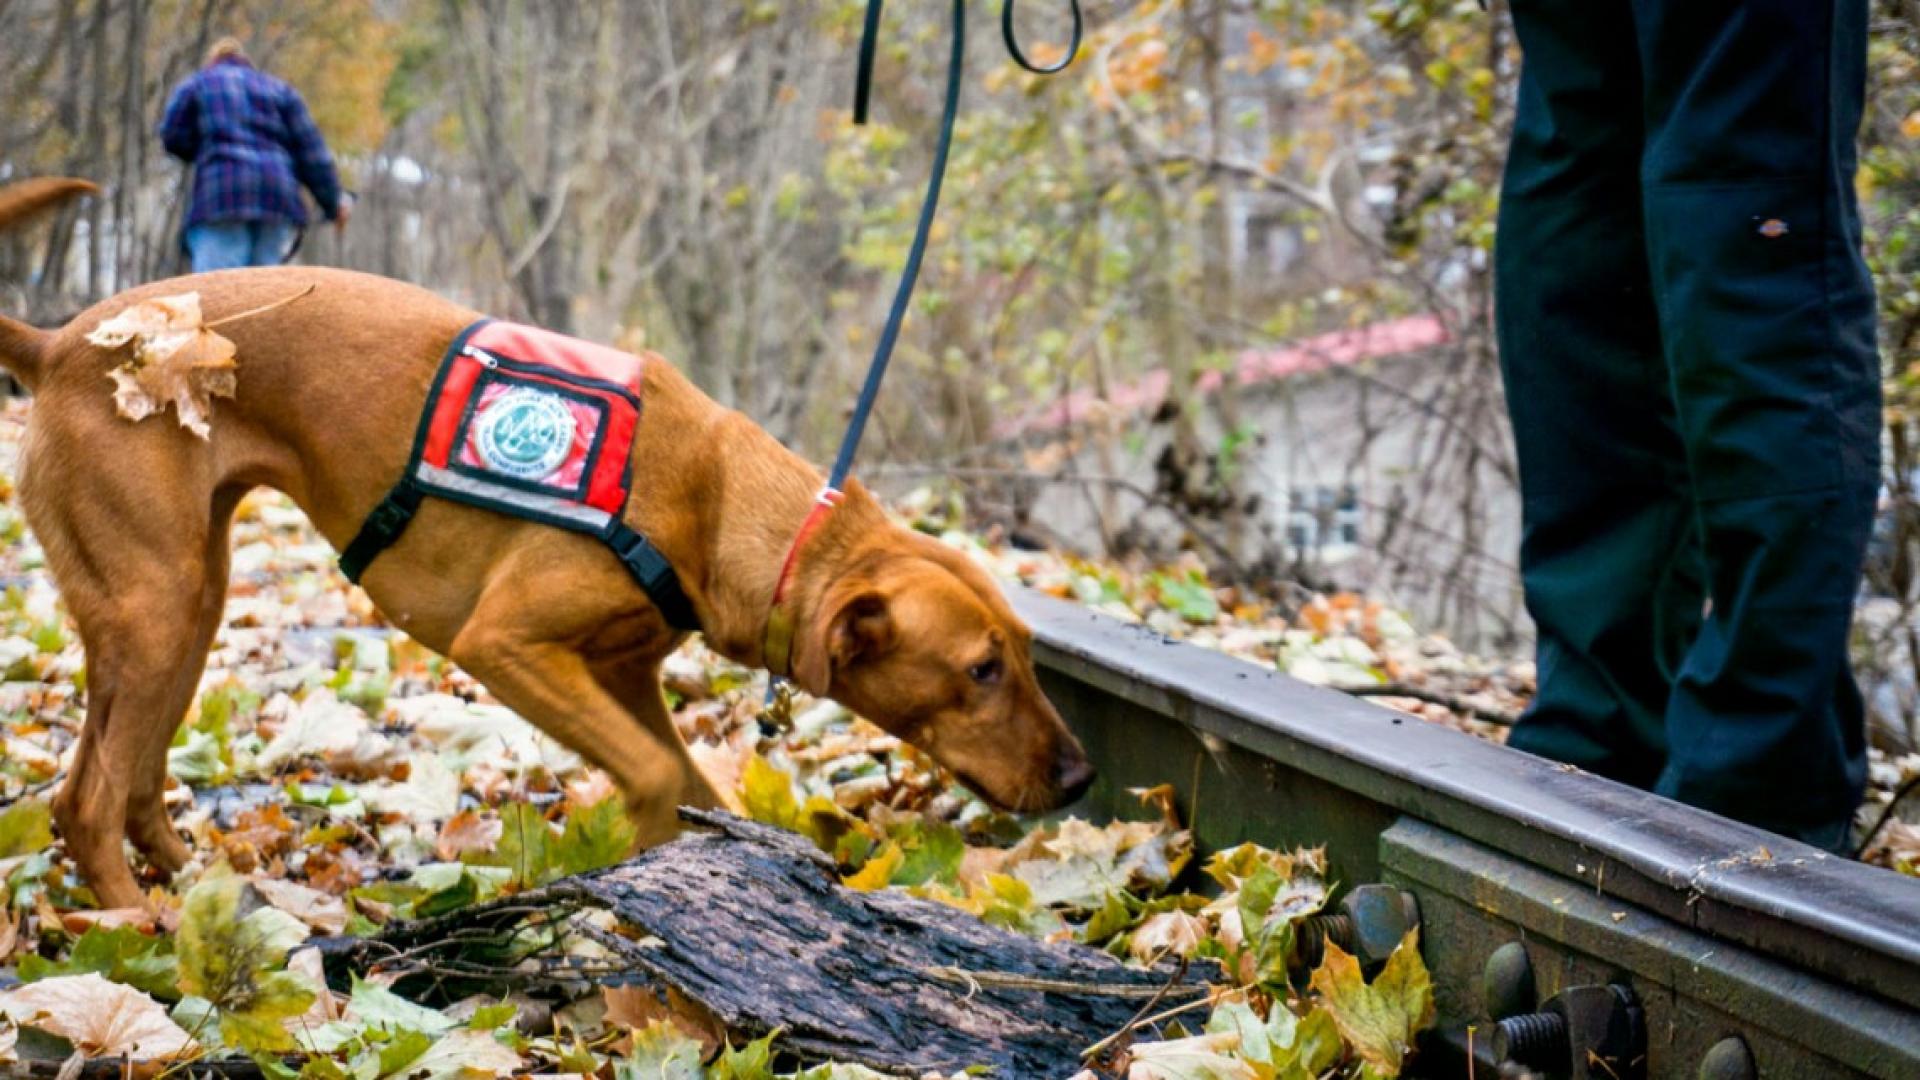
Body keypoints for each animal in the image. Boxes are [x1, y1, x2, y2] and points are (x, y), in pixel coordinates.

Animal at [0, 178, 1090, 907]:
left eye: (1028, 656)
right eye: (982, 670)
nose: (1081, 779)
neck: (713, 500)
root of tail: (56, 344)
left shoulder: (621, 676)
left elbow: (692, 781)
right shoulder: (505, 644)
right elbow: (657, 778)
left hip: (187, 603)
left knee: (125, 783)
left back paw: (210, 891)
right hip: (159, 606)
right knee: (85, 801)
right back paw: (140, 930)